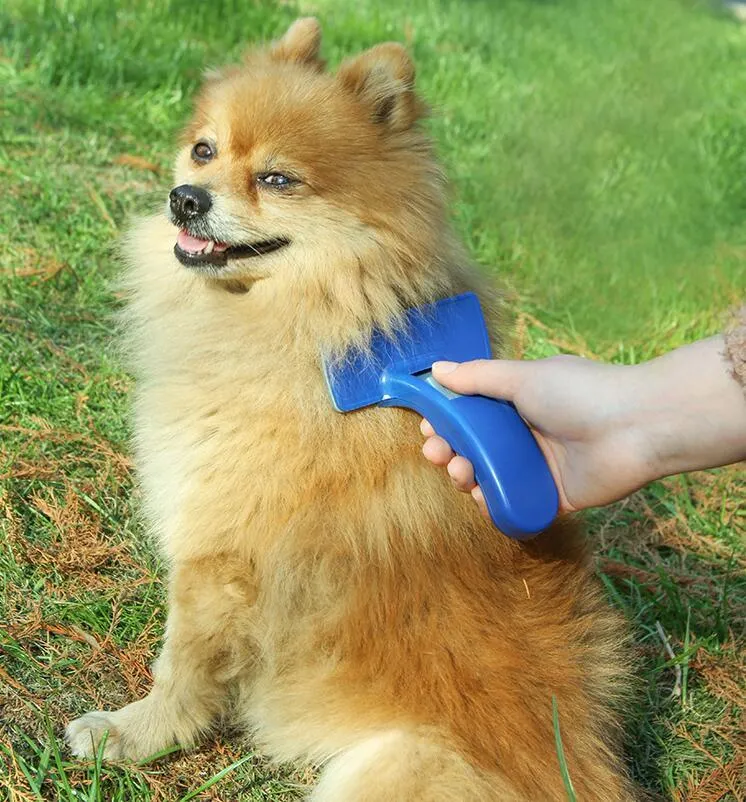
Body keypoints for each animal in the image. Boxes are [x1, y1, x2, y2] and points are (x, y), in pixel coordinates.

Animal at [67, 18, 640, 800]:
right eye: (203, 150)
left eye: (276, 179)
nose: (186, 197)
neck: (311, 318)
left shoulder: (218, 556)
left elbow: (182, 666)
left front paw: (134, 733)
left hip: (382, 772)